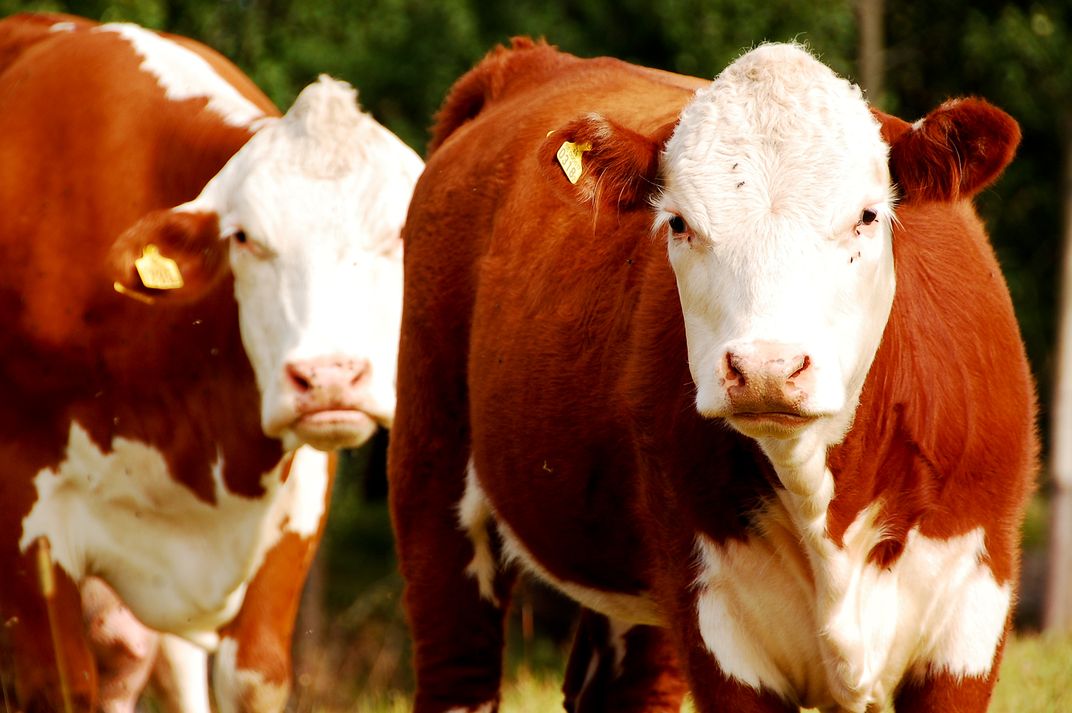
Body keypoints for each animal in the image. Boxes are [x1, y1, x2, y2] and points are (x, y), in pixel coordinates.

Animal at [0, 12, 422, 711]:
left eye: (401, 233)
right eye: (246, 238)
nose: (329, 377)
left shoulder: (295, 511)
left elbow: (253, 678)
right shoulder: (26, 525)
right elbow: (60, 686)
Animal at [390, 40, 1033, 711]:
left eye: (867, 216)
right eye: (678, 223)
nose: (767, 368)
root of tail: (528, 62)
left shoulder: (969, 620)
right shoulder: (716, 629)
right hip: (432, 480)